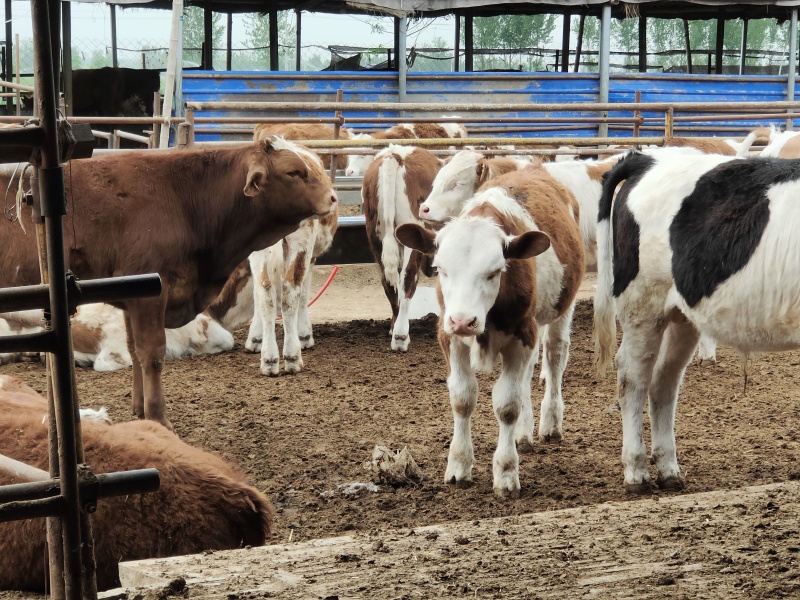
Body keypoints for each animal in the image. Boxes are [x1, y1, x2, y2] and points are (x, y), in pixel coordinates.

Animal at [248, 212, 340, 376]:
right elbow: (303, 294)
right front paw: (304, 335)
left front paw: (256, 337)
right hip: (303, 238)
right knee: (291, 291)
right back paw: (292, 357)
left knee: (265, 290)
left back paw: (269, 359)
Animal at [362, 146, 444, 352]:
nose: (432, 269)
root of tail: (394, 156)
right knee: (407, 279)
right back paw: (400, 337)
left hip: (375, 236)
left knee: (388, 282)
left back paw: (394, 328)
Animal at [592, 150, 800, 492]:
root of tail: (647, 160)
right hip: (643, 306)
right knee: (632, 380)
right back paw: (636, 471)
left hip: (681, 316)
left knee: (664, 381)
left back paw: (668, 470)